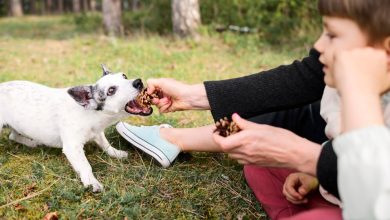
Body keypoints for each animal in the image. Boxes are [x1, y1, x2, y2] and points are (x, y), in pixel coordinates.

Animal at [0, 65, 152, 191]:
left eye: (124, 76)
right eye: (111, 91)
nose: (138, 82)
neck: (90, 113)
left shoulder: (98, 133)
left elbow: (105, 144)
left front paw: (116, 153)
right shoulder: (73, 148)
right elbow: (85, 165)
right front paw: (92, 182)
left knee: (13, 135)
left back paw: (32, 142)